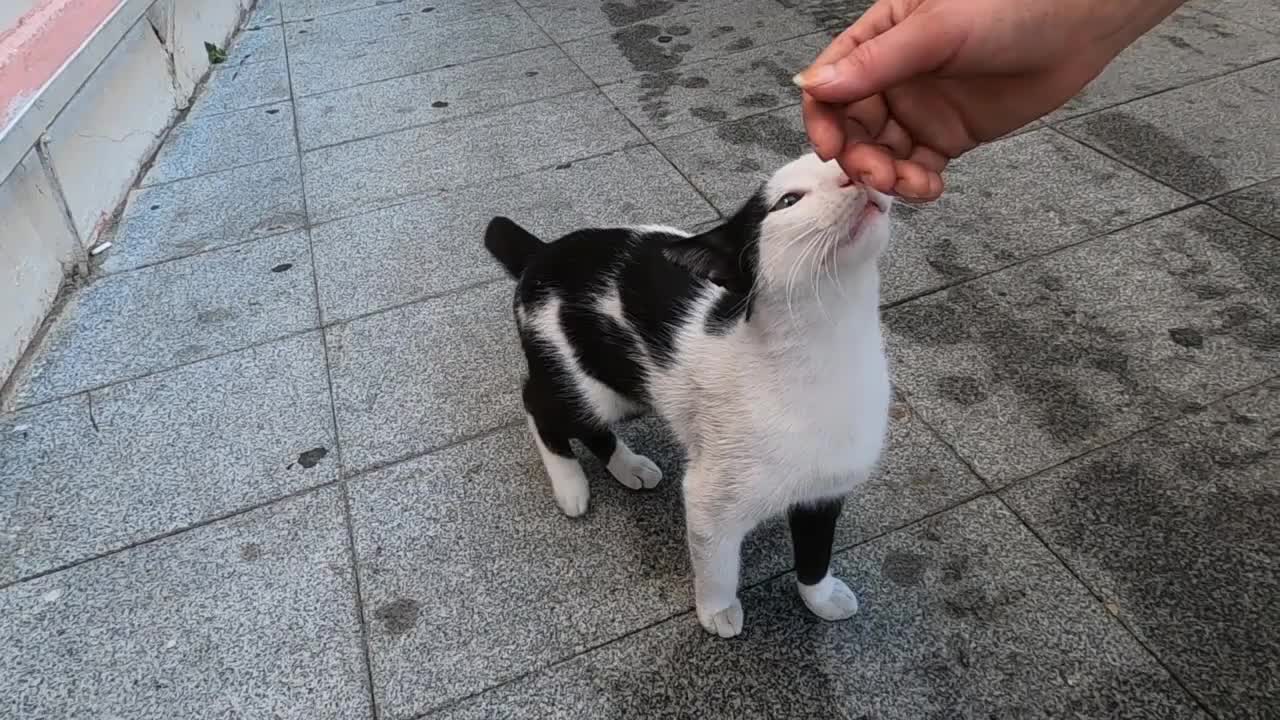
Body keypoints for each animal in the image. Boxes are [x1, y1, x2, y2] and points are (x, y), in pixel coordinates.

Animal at [481, 151, 890, 632]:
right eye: (789, 201)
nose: (855, 173)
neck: (833, 345)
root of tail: (544, 252)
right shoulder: (709, 496)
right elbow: (717, 561)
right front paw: (717, 610)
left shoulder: (825, 489)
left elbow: (816, 550)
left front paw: (820, 596)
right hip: (591, 385)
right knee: (538, 402)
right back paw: (570, 483)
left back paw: (628, 465)